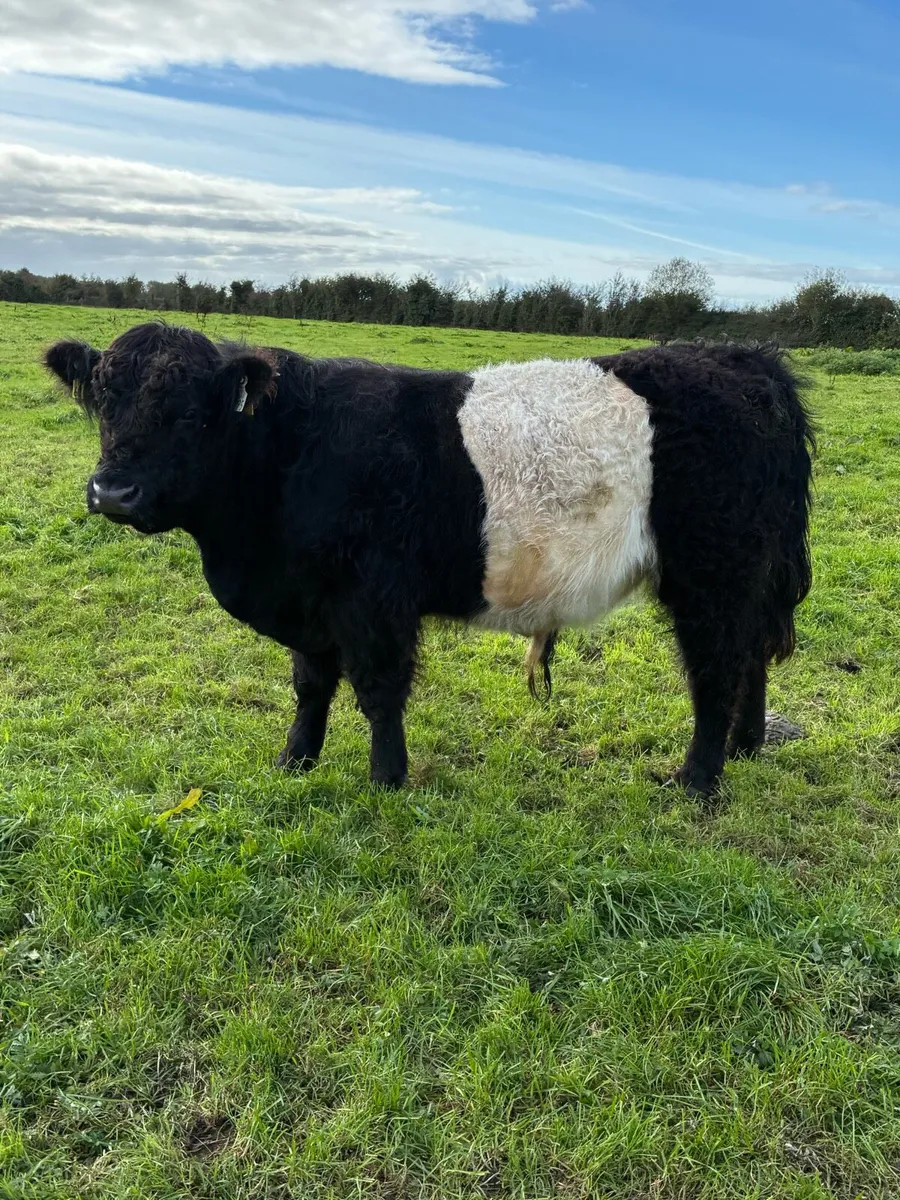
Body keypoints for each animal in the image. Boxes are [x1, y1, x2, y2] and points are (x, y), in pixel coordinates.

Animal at [44, 324, 814, 797]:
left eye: (191, 413)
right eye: (103, 402)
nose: (112, 492)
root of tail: (744, 359)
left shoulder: (373, 598)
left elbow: (378, 691)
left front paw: (387, 779)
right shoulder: (310, 602)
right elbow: (311, 687)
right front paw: (295, 762)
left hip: (712, 573)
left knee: (716, 669)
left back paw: (697, 780)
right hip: (743, 577)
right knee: (750, 656)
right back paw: (746, 749)